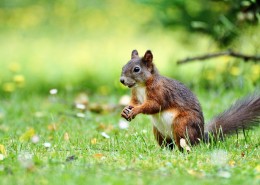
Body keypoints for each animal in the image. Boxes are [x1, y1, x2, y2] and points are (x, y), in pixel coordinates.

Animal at [120, 49, 260, 152]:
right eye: (123, 67)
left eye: (136, 69)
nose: (121, 80)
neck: (141, 86)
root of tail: (200, 137)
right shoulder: (135, 95)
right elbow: (134, 102)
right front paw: (125, 110)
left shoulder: (160, 92)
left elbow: (154, 105)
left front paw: (136, 110)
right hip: (158, 131)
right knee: (168, 145)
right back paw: (163, 151)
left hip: (182, 124)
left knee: (184, 143)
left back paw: (181, 151)